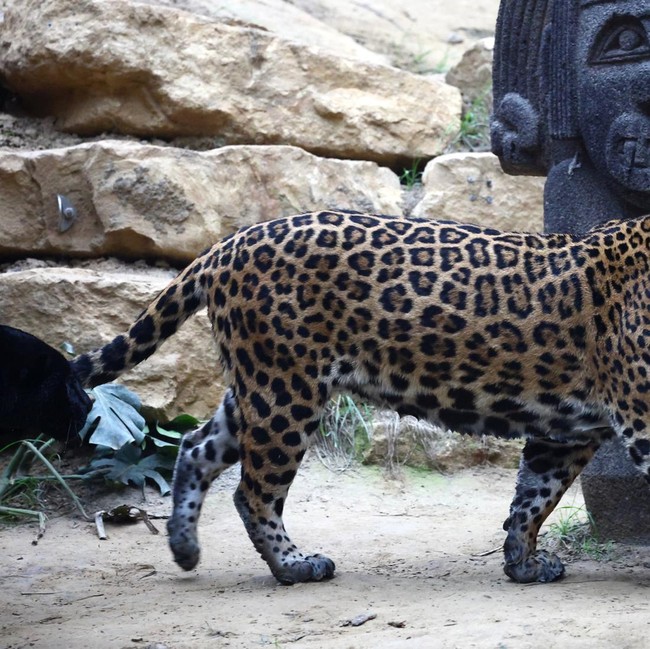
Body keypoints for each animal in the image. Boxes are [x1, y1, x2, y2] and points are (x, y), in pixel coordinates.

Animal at [72, 209, 650, 585]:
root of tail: (227, 243)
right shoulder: (642, 420)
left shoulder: (563, 432)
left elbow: (533, 497)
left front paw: (522, 564)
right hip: (286, 391)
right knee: (253, 492)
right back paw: (295, 567)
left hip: (261, 387)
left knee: (196, 447)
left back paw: (185, 548)